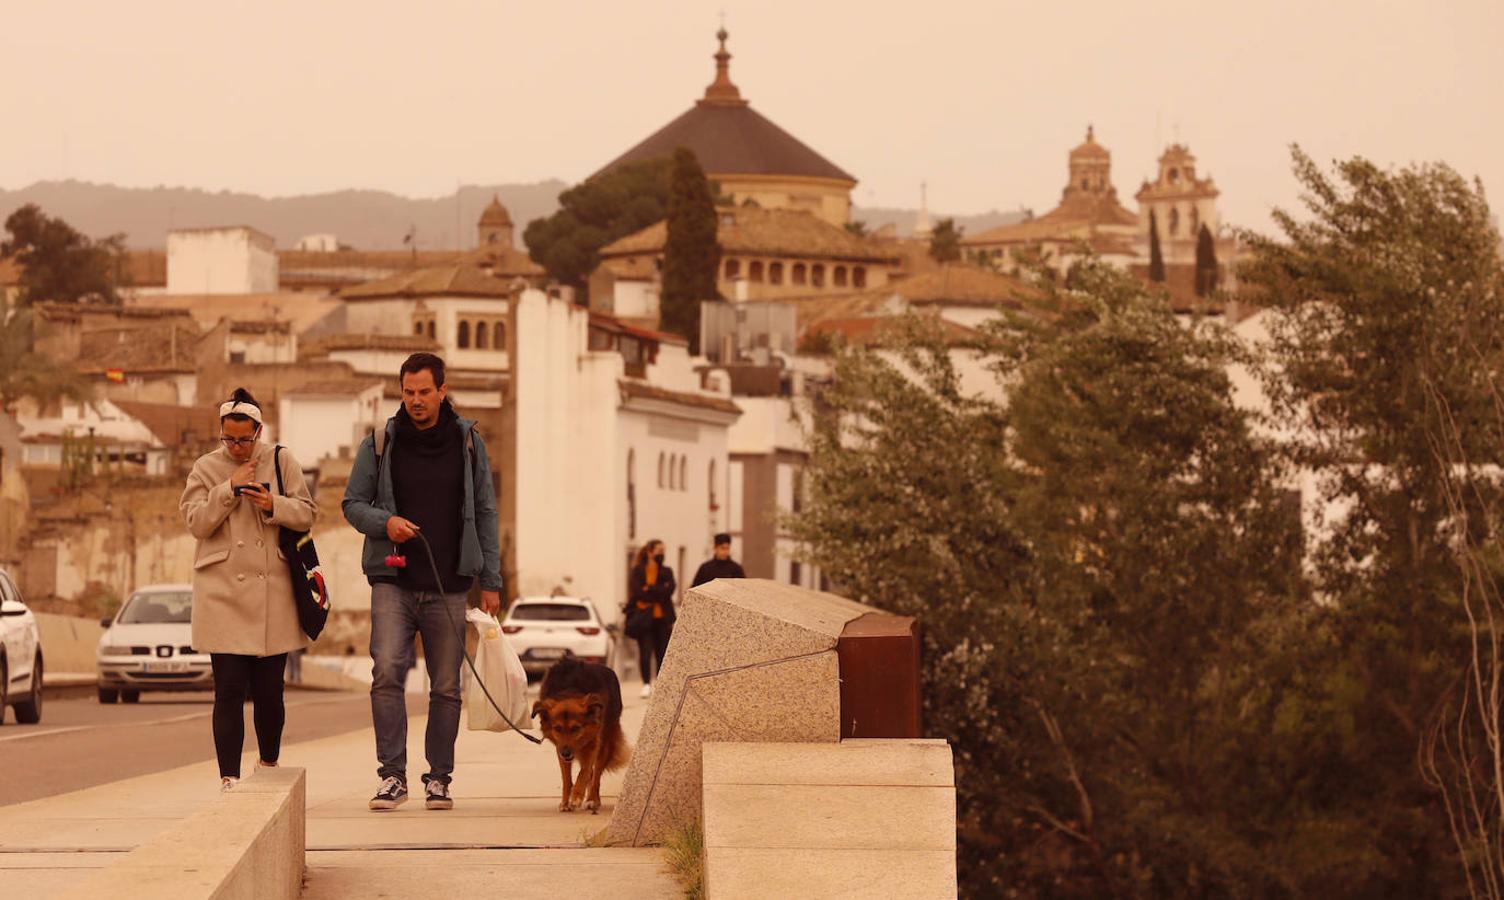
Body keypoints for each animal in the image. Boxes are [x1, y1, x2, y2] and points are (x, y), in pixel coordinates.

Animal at [532, 656, 631, 818]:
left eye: (576, 728)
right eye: (557, 728)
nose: (566, 753)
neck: (570, 690)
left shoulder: (593, 741)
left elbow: (584, 772)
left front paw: (577, 795)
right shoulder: (559, 747)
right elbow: (566, 779)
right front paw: (566, 802)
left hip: (605, 742)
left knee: (595, 774)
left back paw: (592, 799)